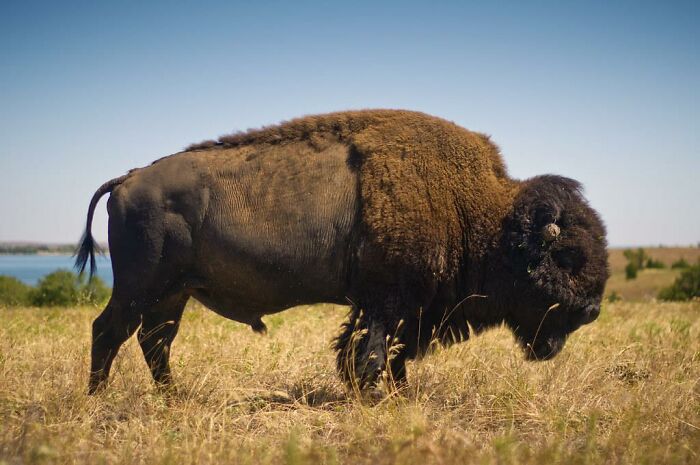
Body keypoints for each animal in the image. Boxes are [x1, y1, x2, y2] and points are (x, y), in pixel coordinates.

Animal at [76, 110, 609, 394]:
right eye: (566, 258)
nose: (591, 310)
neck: (481, 211)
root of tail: (127, 178)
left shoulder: (394, 306)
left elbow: (383, 353)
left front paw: (394, 393)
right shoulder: (389, 301)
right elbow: (373, 351)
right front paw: (373, 394)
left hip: (173, 293)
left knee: (155, 341)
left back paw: (174, 397)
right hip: (141, 286)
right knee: (110, 331)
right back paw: (99, 399)